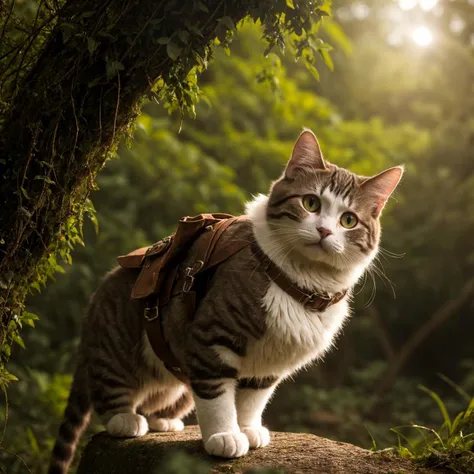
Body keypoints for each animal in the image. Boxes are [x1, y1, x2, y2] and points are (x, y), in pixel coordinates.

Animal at [49, 130, 404, 474]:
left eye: (348, 220)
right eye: (311, 202)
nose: (324, 231)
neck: (301, 280)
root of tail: (96, 303)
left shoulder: (269, 361)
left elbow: (252, 399)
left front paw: (247, 428)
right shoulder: (211, 337)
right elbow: (217, 394)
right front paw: (224, 435)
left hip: (176, 381)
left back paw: (162, 420)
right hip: (118, 343)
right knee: (108, 387)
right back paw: (124, 419)